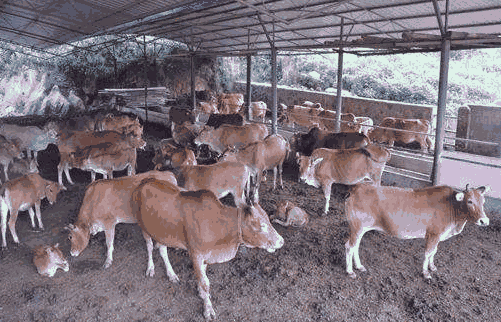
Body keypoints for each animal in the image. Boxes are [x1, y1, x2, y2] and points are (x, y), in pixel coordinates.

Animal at [131, 179, 284, 320]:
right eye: (261, 225)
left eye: (268, 220)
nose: (281, 241)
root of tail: (144, 182)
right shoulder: (196, 255)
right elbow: (205, 283)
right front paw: (208, 309)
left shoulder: (207, 255)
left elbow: (203, 277)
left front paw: (201, 292)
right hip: (143, 227)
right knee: (150, 247)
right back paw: (150, 268)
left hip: (161, 232)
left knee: (162, 250)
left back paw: (171, 274)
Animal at [344, 184, 488, 280]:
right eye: (470, 201)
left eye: (483, 201)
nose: (484, 221)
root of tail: (356, 188)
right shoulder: (433, 234)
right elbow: (428, 253)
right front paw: (426, 273)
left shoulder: (437, 237)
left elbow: (434, 252)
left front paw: (432, 267)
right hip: (357, 227)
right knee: (349, 246)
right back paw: (350, 271)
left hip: (360, 229)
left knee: (355, 246)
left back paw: (359, 266)